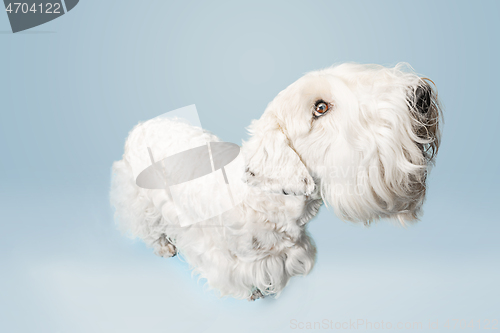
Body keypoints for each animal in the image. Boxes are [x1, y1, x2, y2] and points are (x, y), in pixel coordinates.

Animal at [110, 63, 442, 300]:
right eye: (320, 108)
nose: (421, 96)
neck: (266, 201)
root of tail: (140, 126)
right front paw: (253, 294)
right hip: (140, 199)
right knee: (148, 226)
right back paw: (165, 246)